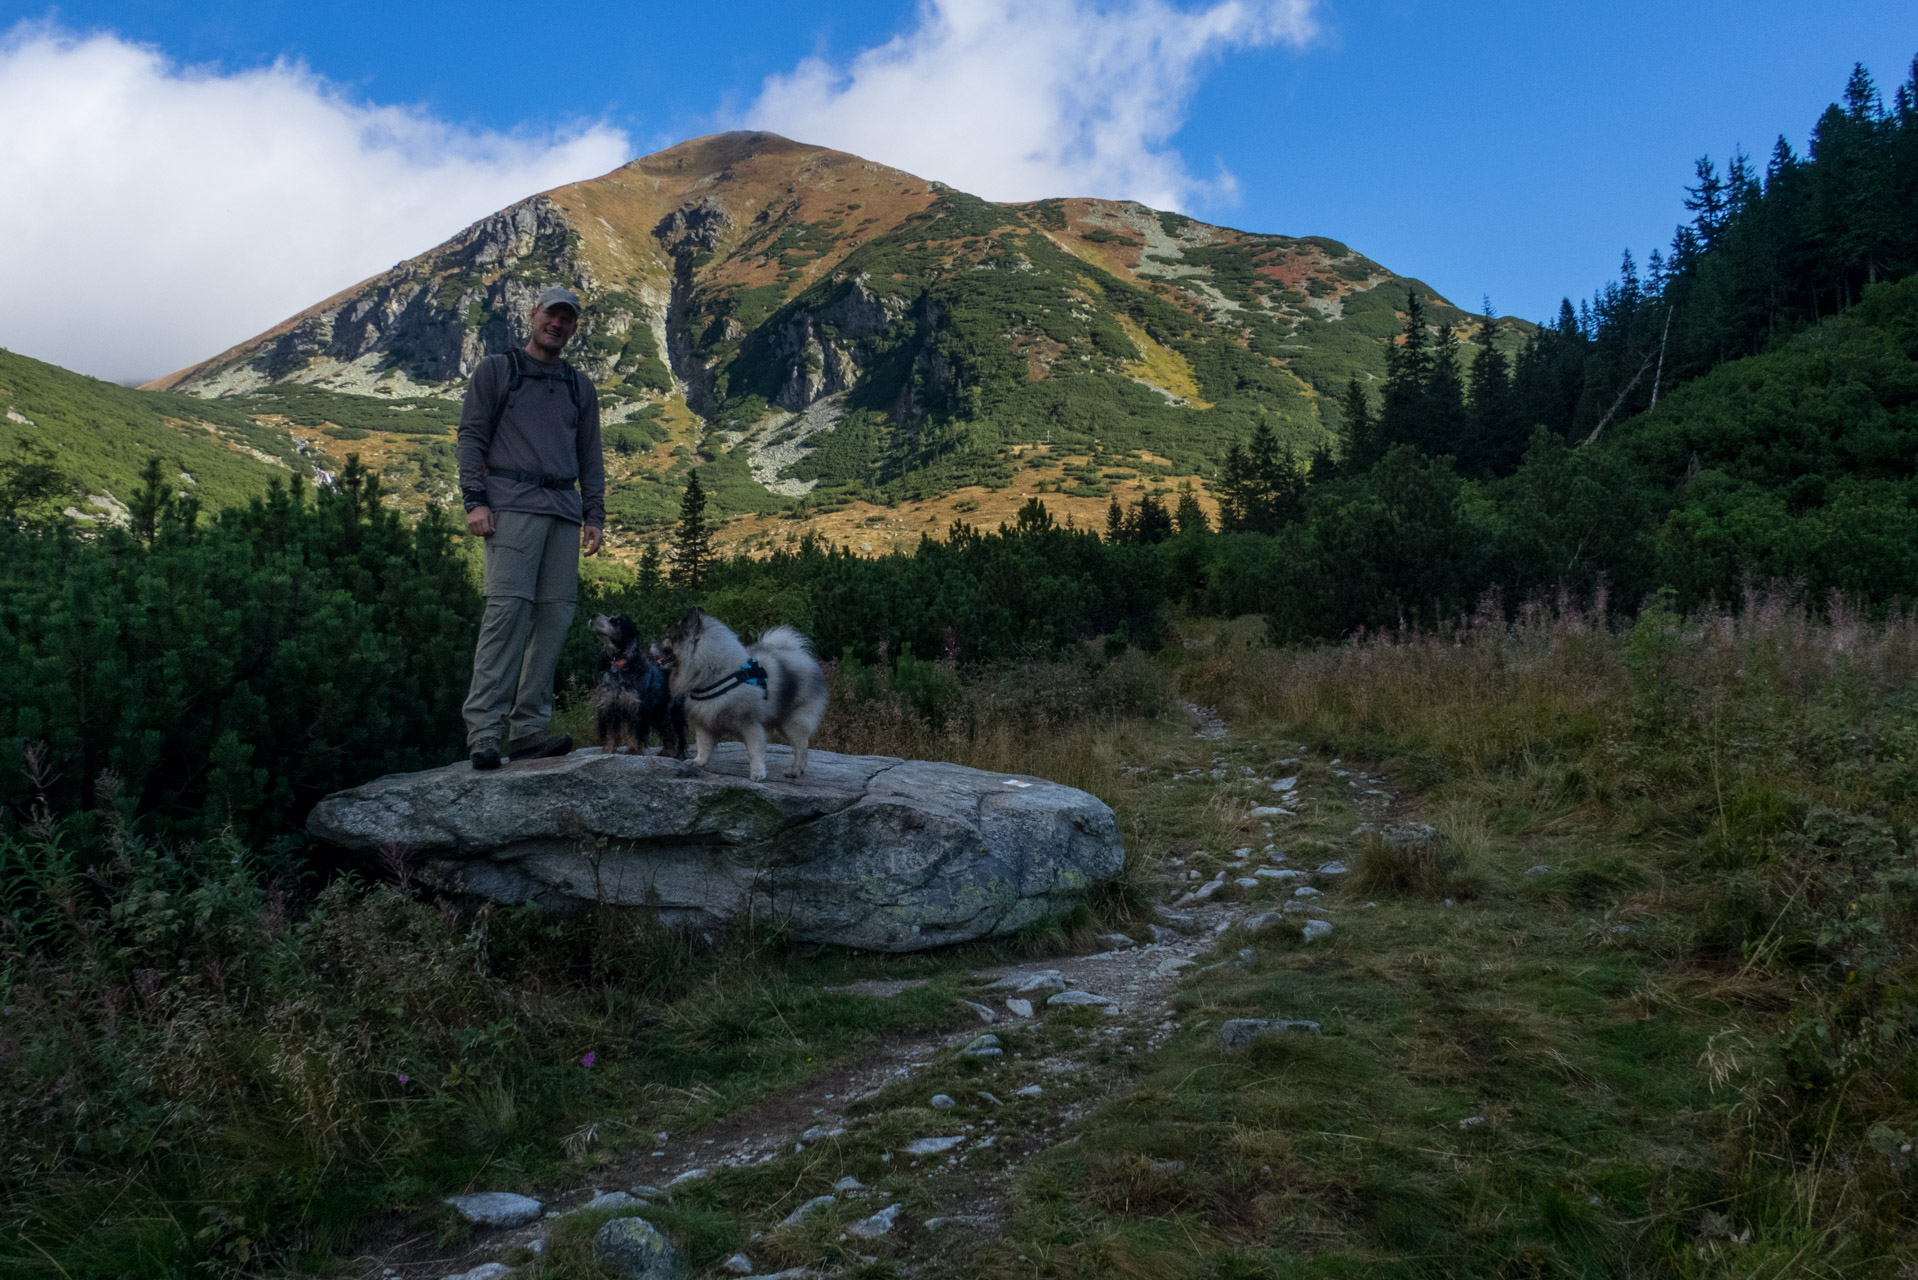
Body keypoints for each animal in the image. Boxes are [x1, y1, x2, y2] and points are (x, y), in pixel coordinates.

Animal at [586, 614, 686, 756]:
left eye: (617, 621)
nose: (593, 615)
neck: (619, 666)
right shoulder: (609, 706)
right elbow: (610, 733)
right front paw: (608, 750)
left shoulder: (636, 707)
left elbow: (634, 732)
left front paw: (632, 750)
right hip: (660, 714)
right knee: (668, 732)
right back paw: (667, 752)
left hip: (673, 711)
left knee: (679, 734)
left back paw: (680, 755)